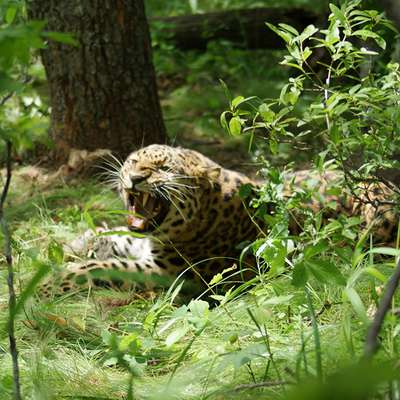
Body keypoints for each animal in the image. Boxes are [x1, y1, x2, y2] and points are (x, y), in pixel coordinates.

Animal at [39, 145, 398, 296]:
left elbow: (101, 267)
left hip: (375, 216)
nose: (136, 179)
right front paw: (66, 244)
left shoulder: (172, 274)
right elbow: (110, 235)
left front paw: (49, 283)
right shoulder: (142, 241)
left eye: (164, 169)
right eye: (132, 162)